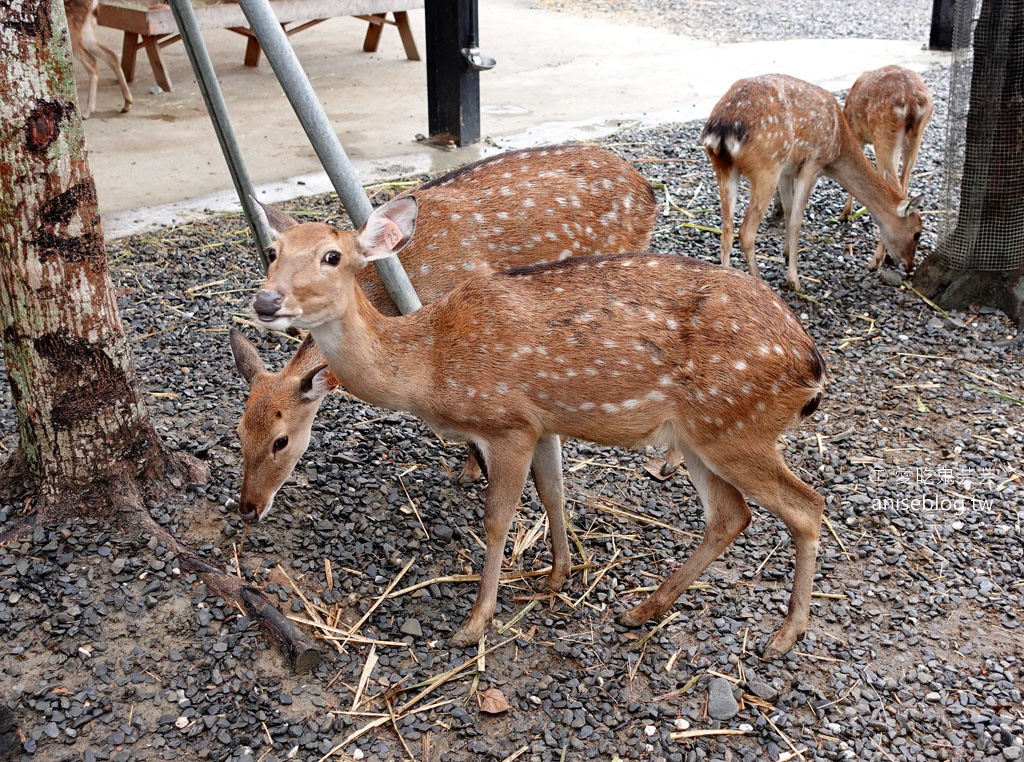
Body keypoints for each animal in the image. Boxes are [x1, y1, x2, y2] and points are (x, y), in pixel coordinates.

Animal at [251, 196, 827, 655]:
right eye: (273, 252)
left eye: (332, 256)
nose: (265, 300)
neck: (427, 365)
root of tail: (811, 364)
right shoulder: (544, 422)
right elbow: (553, 492)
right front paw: (557, 577)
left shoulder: (506, 423)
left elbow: (497, 520)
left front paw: (475, 623)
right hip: (700, 436)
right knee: (732, 516)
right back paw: (642, 609)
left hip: (735, 425)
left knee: (806, 506)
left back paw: (785, 635)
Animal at [700, 72, 925, 290]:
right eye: (917, 233)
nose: (910, 265)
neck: (838, 148)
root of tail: (723, 130)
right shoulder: (812, 164)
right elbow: (796, 221)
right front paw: (794, 280)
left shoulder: (786, 171)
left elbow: (788, 211)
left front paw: (786, 253)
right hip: (767, 166)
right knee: (746, 232)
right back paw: (759, 280)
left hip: (725, 167)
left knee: (726, 231)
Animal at [835, 64, 933, 270]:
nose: (910, 266)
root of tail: (911, 100)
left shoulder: (856, 134)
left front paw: (846, 214)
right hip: (915, 137)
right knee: (904, 186)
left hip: (884, 132)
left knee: (895, 187)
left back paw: (876, 260)